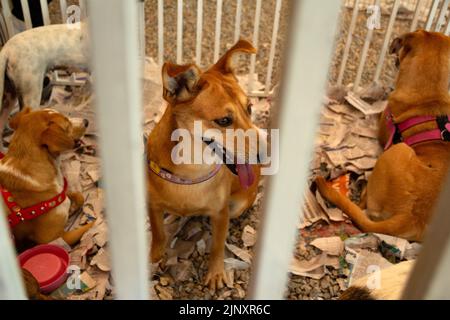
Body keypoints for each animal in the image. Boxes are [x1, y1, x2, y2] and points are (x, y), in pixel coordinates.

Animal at [147, 39, 264, 290]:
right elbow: (158, 235)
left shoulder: (221, 213)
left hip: (237, 205)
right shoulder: (153, 205)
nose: (266, 154)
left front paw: (216, 273)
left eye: (249, 108)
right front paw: (153, 257)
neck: (191, 169)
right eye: (224, 120)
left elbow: (217, 246)